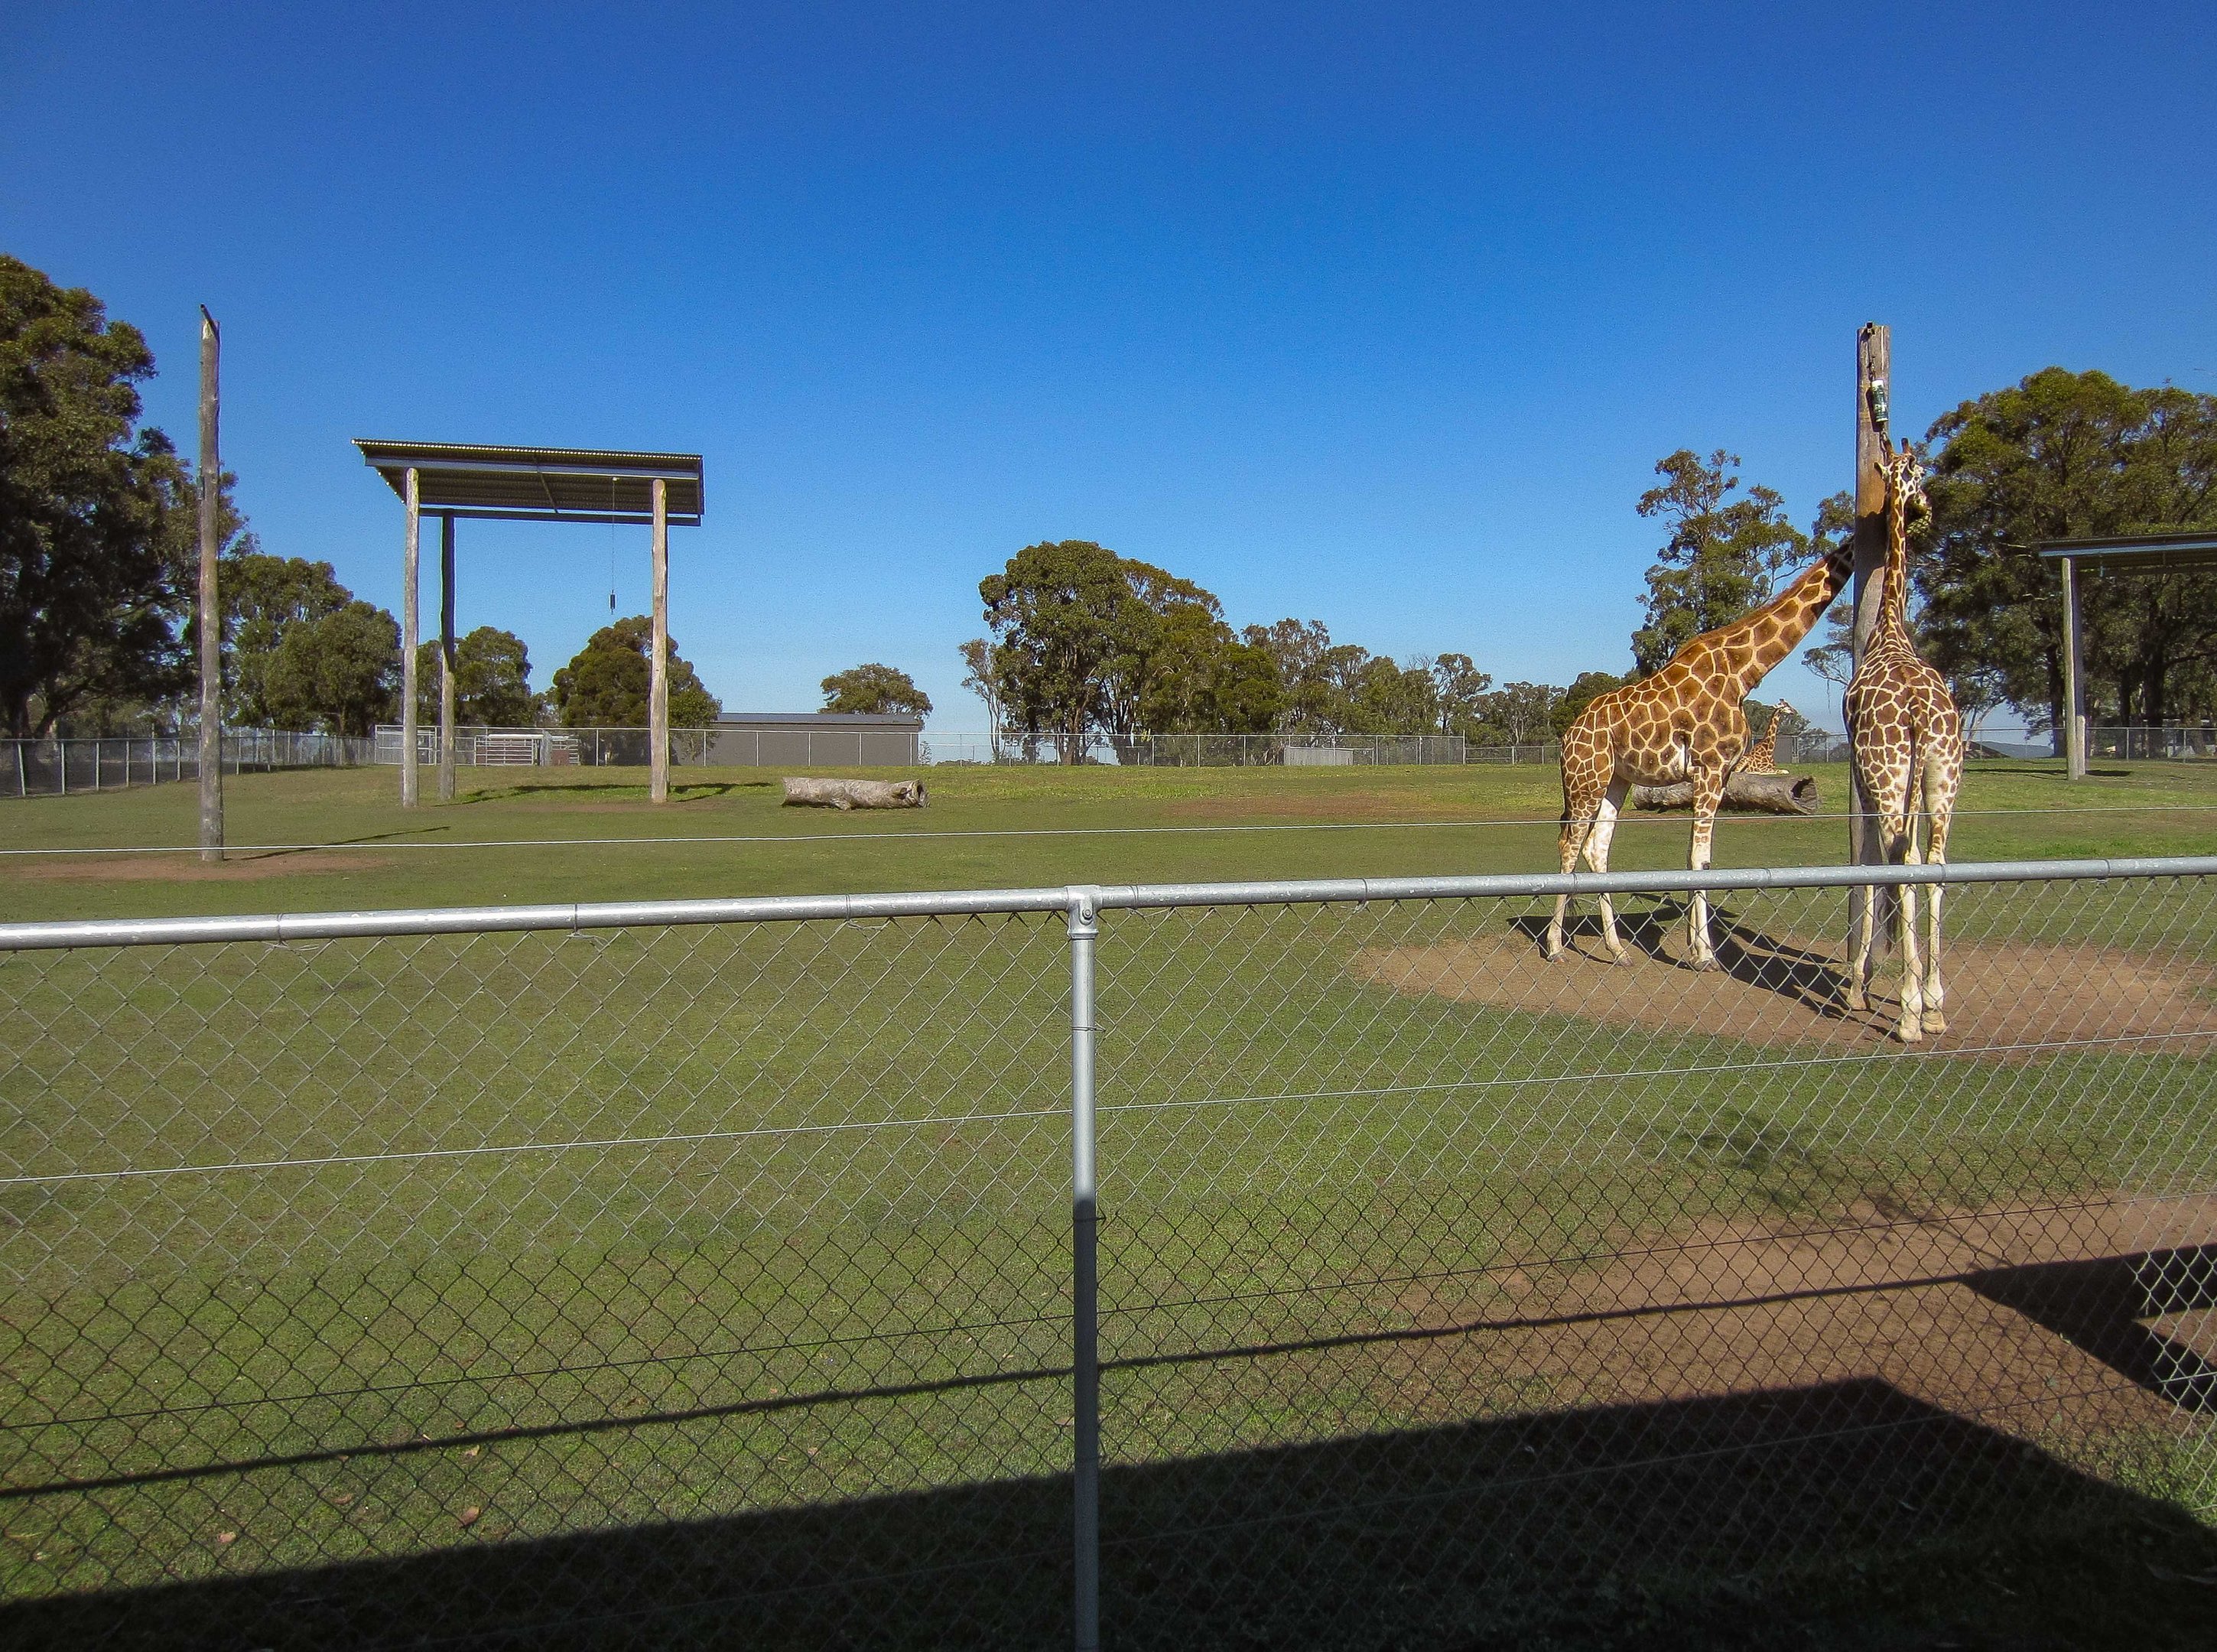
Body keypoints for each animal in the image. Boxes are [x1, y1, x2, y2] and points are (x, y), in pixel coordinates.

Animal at [1545, 540, 1853, 969]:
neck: (1744, 671)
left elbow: (1699, 857)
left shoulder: (1720, 774)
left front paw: (1696, 947)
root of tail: (1569, 735)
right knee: (1570, 845)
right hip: (1585, 780)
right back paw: (1556, 947)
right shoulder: (1710, 766)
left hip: (1617, 780)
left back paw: (1618, 951)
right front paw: (1704, 954)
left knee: (1596, 847)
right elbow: (1699, 858)